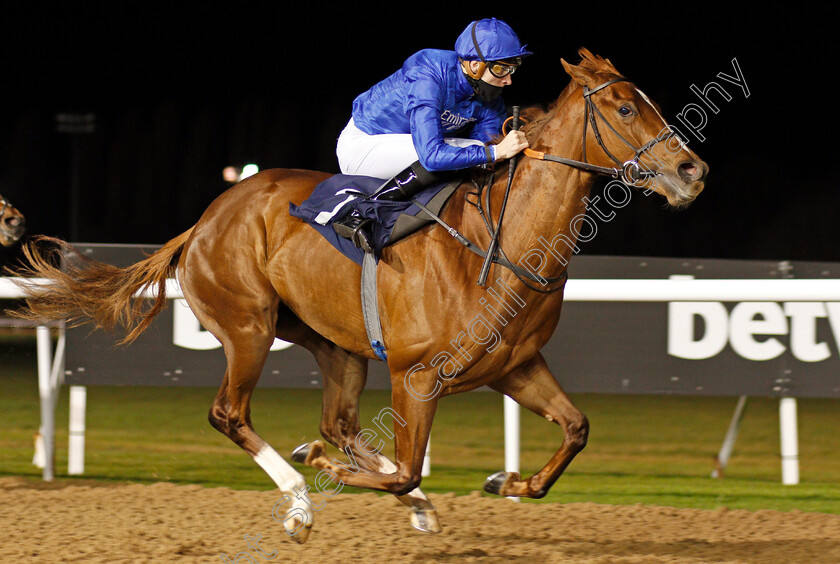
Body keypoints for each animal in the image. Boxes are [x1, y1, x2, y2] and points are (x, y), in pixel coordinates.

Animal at [16, 50, 704, 544]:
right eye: (623, 108)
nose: (691, 171)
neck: (500, 243)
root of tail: (204, 221)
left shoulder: (514, 366)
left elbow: (576, 429)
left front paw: (506, 480)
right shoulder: (417, 376)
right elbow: (405, 467)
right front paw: (326, 471)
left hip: (333, 342)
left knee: (339, 422)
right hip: (248, 327)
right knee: (231, 414)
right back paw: (299, 500)